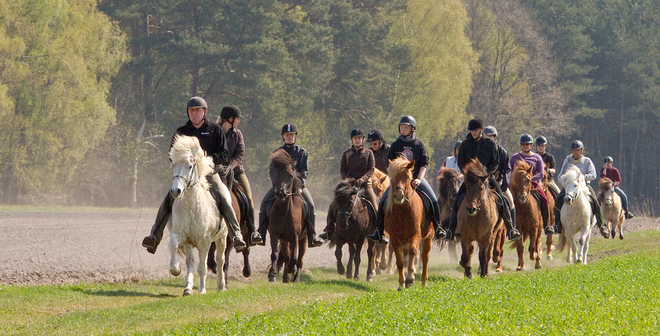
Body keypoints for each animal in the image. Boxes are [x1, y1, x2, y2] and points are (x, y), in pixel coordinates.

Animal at [169, 135, 228, 296]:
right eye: (173, 165)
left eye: (190, 166)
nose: (176, 191)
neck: (192, 206)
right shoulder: (182, 236)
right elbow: (174, 245)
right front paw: (175, 269)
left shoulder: (204, 242)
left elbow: (202, 268)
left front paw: (202, 291)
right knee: (191, 262)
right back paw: (188, 288)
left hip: (222, 238)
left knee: (220, 260)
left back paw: (221, 286)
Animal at [266, 148, 306, 282]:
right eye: (275, 173)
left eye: (290, 175)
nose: (281, 193)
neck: (284, 211)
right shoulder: (274, 234)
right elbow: (275, 254)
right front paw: (273, 274)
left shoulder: (295, 237)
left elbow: (294, 257)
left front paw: (290, 269)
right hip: (284, 240)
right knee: (285, 256)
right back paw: (285, 278)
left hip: (303, 239)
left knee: (299, 259)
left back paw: (296, 277)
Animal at [384, 156, 430, 288]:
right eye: (392, 177)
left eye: (407, 177)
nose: (399, 196)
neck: (402, 211)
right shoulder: (394, 238)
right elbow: (400, 262)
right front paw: (401, 284)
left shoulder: (416, 234)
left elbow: (413, 252)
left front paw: (410, 278)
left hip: (428, 236)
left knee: (425, 257)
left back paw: (424, 281)